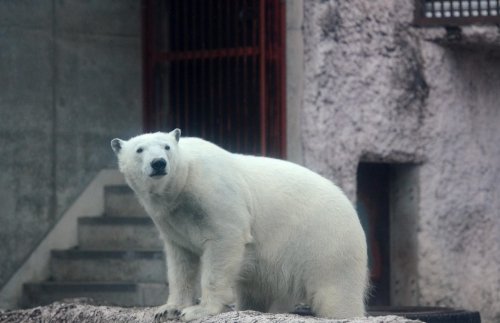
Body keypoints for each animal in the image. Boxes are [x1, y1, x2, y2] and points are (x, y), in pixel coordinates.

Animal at [110, 129, 368, 322]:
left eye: (166, 147)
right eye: (139, 149)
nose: (158, 163)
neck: (181, 184)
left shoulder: (213, 191)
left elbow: (224, 240)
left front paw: (199, 310)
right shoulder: (171, 220)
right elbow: (180, 261)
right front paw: (169, 309)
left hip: (327, 247)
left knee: (337, 296)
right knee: (257, 290)